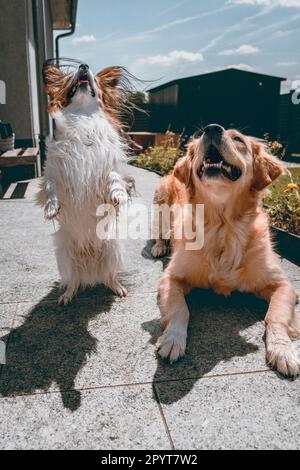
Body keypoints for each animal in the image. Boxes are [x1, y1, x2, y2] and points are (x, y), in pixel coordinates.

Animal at [38, 61, 135, 304]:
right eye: (69, 81)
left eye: (96, 83)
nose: (83, 65)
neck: (83, 119)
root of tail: (91, 271)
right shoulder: (52, 172)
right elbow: (51, 187)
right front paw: (51, 207)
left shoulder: (109, 167)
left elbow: (114, 178)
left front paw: (118, 194)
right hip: (64, 256)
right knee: (73, 280)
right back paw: (67, 295)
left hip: (113, 249)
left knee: (110, 276)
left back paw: (117, 287)